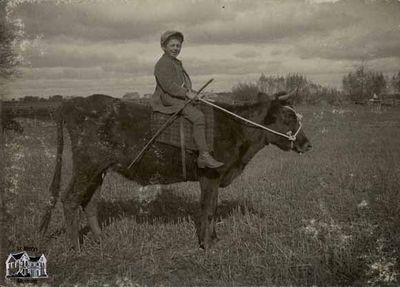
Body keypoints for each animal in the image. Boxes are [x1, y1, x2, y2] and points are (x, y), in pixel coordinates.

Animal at [39, 91, 310, 251]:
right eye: (287, 118)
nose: (307, 144)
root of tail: (74, 101)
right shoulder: (209, 176)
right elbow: (208, 209)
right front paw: (206, 245)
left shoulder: (215, 178)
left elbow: (213, 207)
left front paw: (213, 239)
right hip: (87, 165)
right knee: (70, 199)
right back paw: (76, 248)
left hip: (99, 170)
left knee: (90, 202)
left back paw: (101, 239)